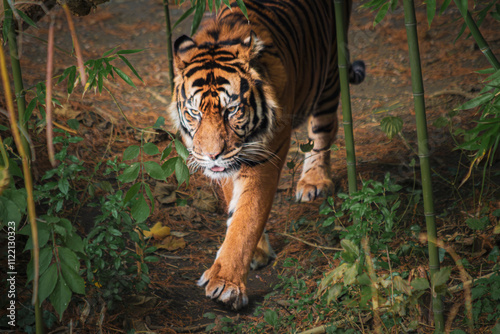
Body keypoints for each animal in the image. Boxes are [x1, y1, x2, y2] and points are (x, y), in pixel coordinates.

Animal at [168, 0, 364, 310]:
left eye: (232, 111)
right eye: (194, 112)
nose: (211, 156)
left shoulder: (262, 157)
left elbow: (247, 217)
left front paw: (226, 283)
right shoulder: (230, 164)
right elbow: (235, 208)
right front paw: (256, 252)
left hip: (331, 71)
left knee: (323, 129)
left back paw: (314, 181)